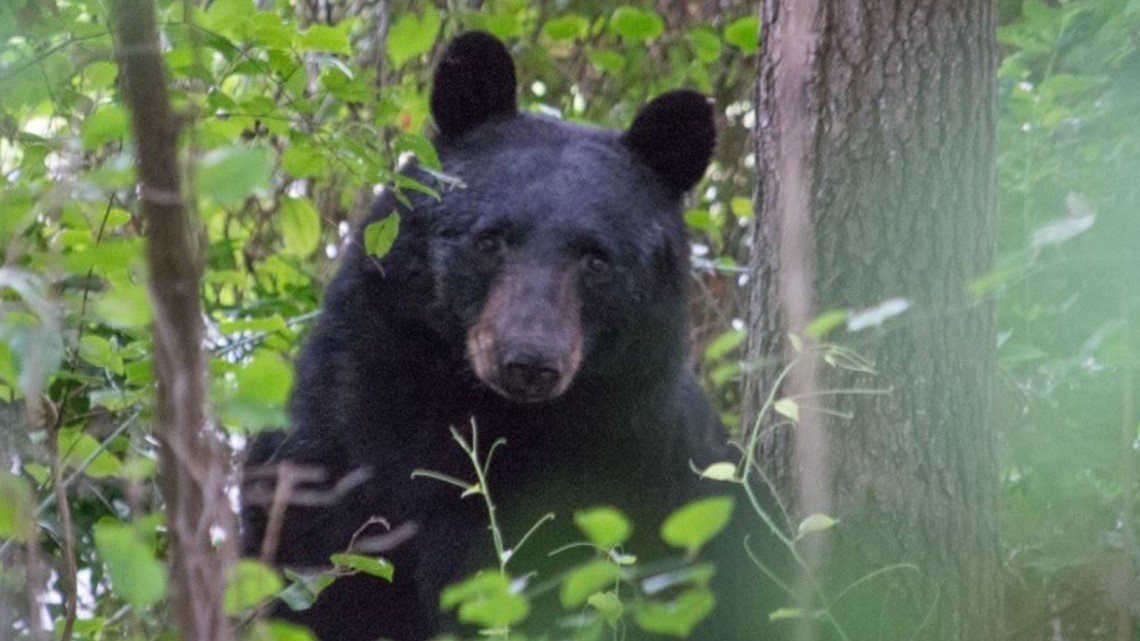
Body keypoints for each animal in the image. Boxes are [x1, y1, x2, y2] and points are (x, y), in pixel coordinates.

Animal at [242, 31, 747, 638]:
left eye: (596, 258)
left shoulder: (639, 467)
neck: (485, 414)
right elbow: (321, 579)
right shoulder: (335, 445)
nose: (528, 360)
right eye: (490, 238)